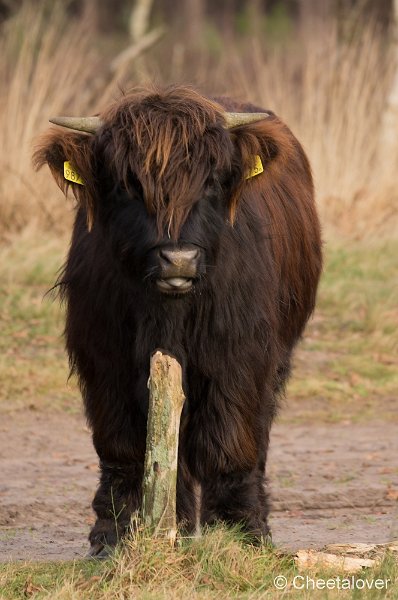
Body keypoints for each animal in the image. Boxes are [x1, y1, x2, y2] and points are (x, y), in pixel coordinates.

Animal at [32, 84, 322, 556]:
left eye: (210, 182)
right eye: (129, 186)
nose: (178, 259)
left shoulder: (239, 356)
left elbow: (230, 437)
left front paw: (240, 530)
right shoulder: (106, 358)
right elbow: (124, 446)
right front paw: (115, 532)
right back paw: (177, 523)